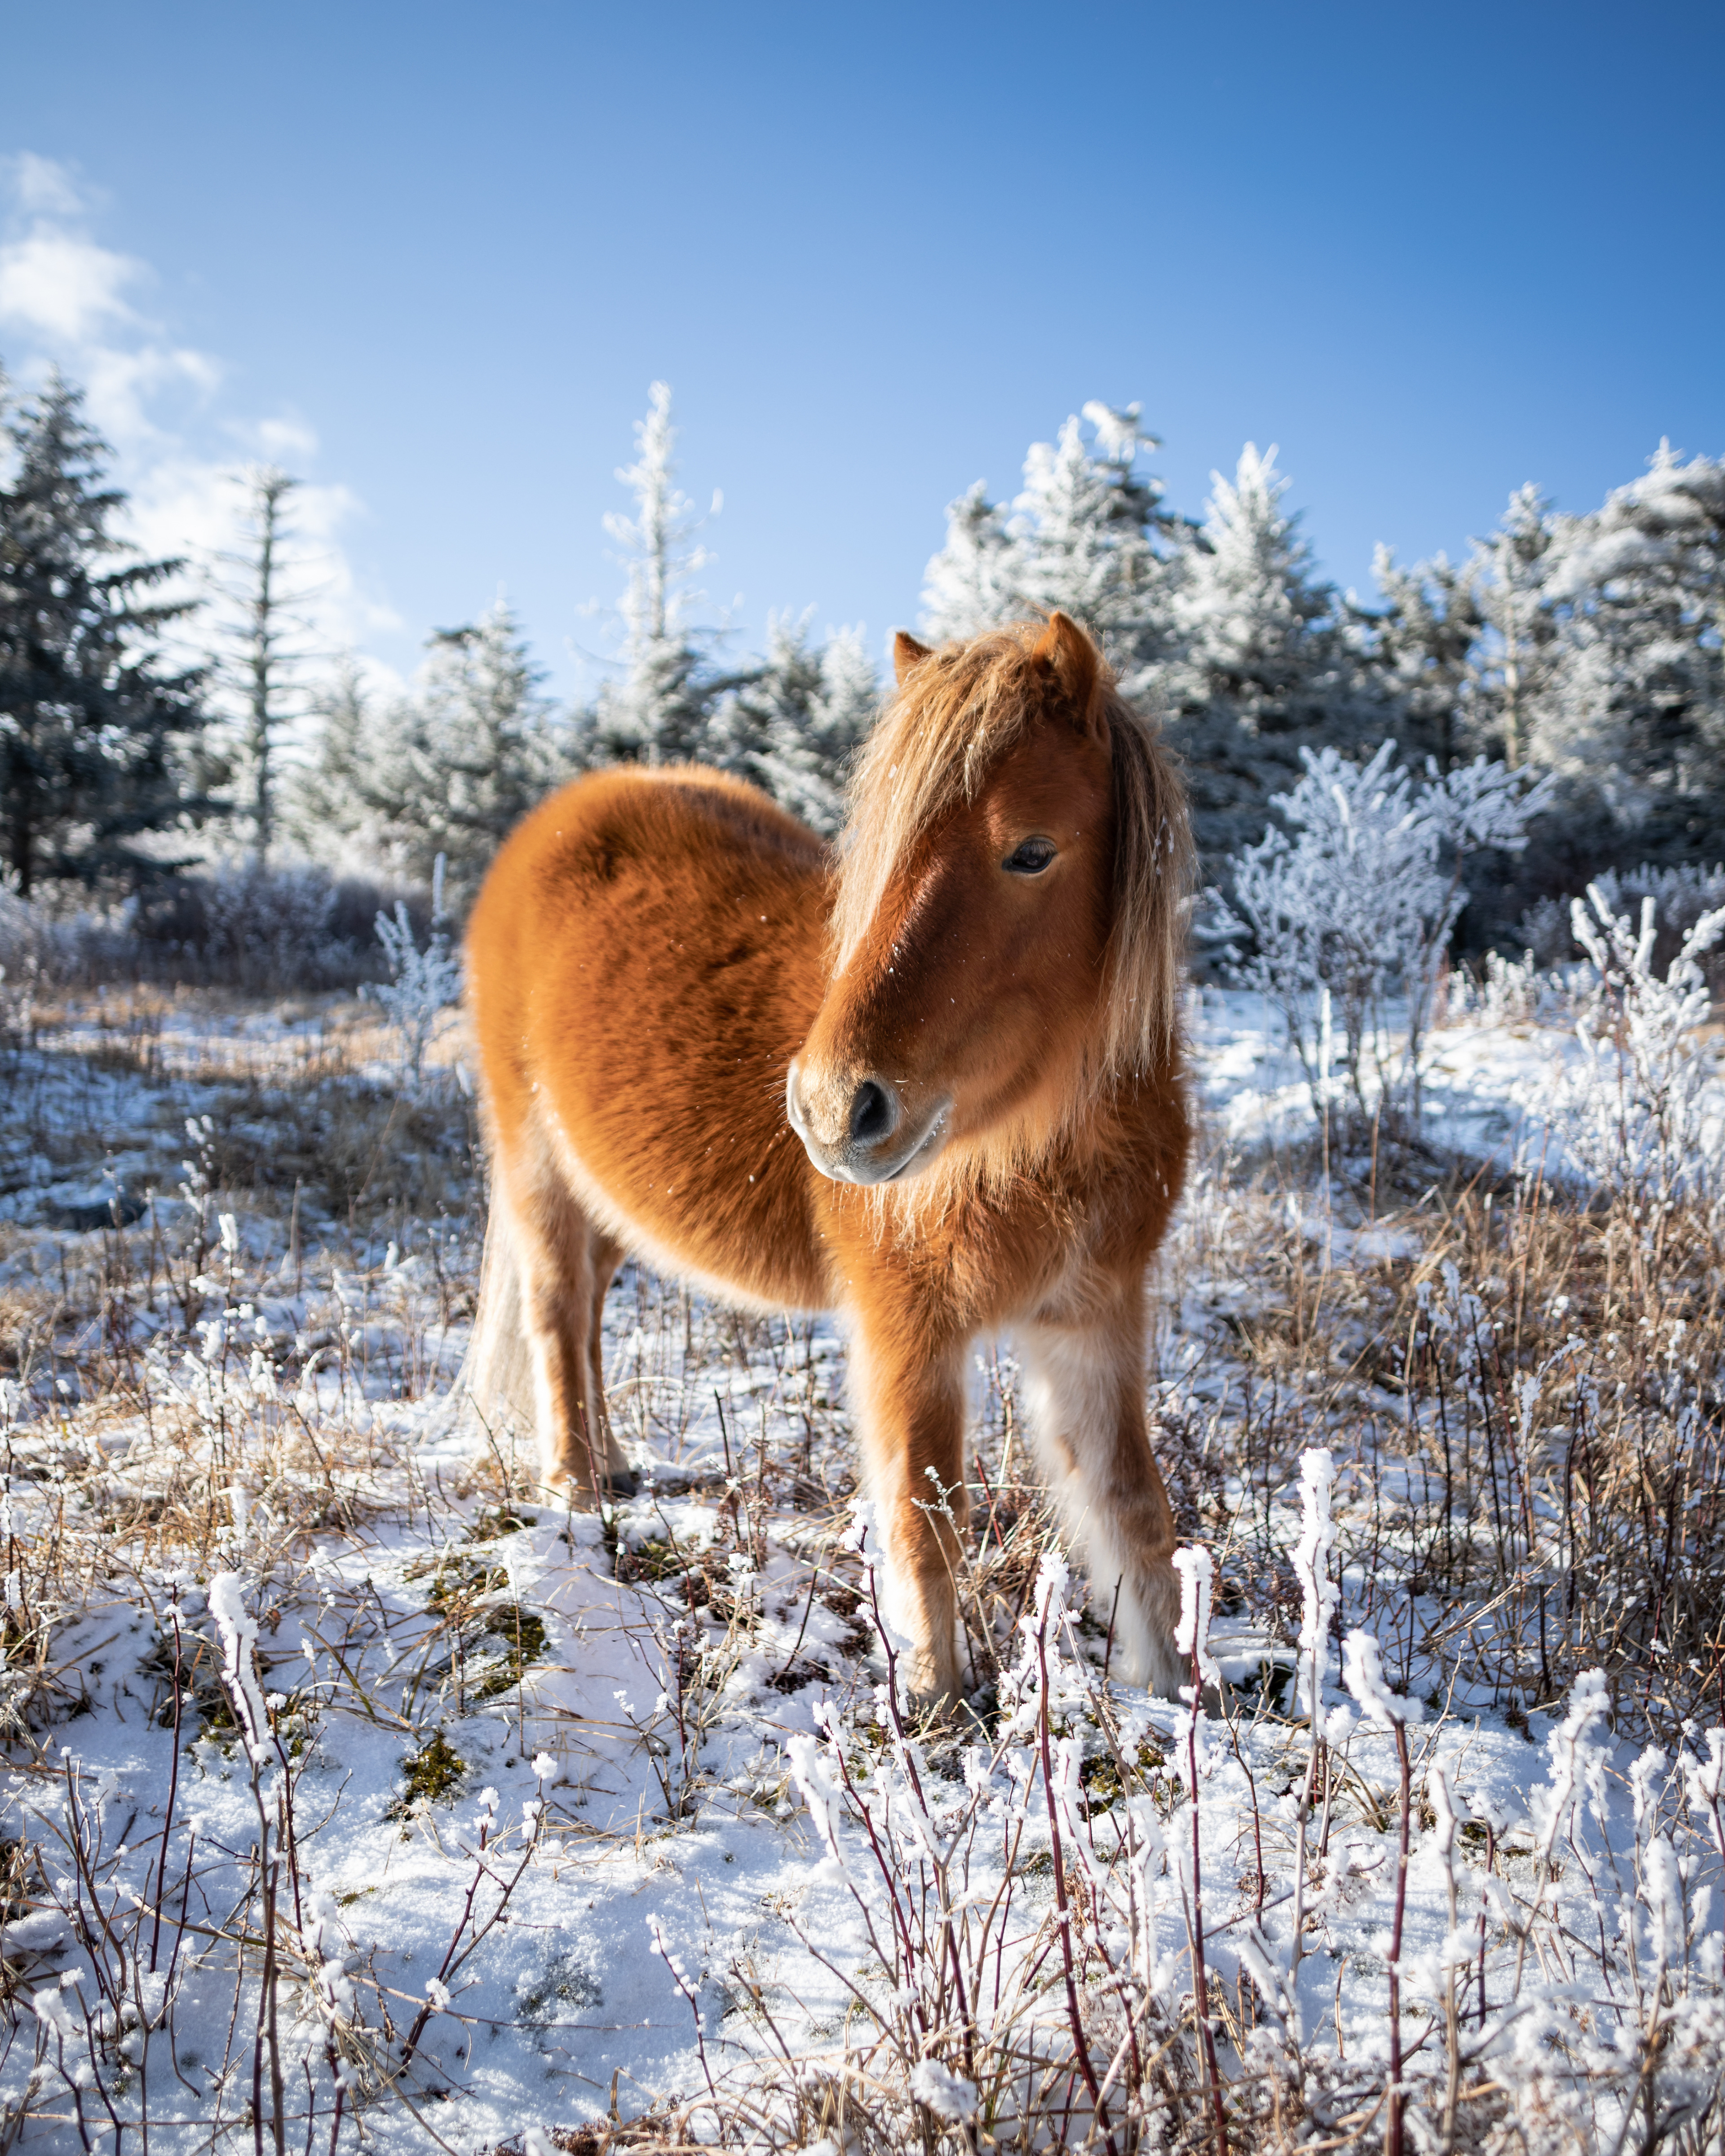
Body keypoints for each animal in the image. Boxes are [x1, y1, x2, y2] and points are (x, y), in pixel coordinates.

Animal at [462, 610, 1194, 1704]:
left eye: (1032, 851)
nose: (832, 1109)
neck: (1035, 1138)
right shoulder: (906, 1330)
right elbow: (927, 1520)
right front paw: (940, 1702)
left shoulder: (1094, 1315)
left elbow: (1132, 1513)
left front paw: (1181, 1695)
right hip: (536, 1165)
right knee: (555, 1314)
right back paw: (577, 1495)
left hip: (611, 1199)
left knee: (586, 1309)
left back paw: (615, 1466)